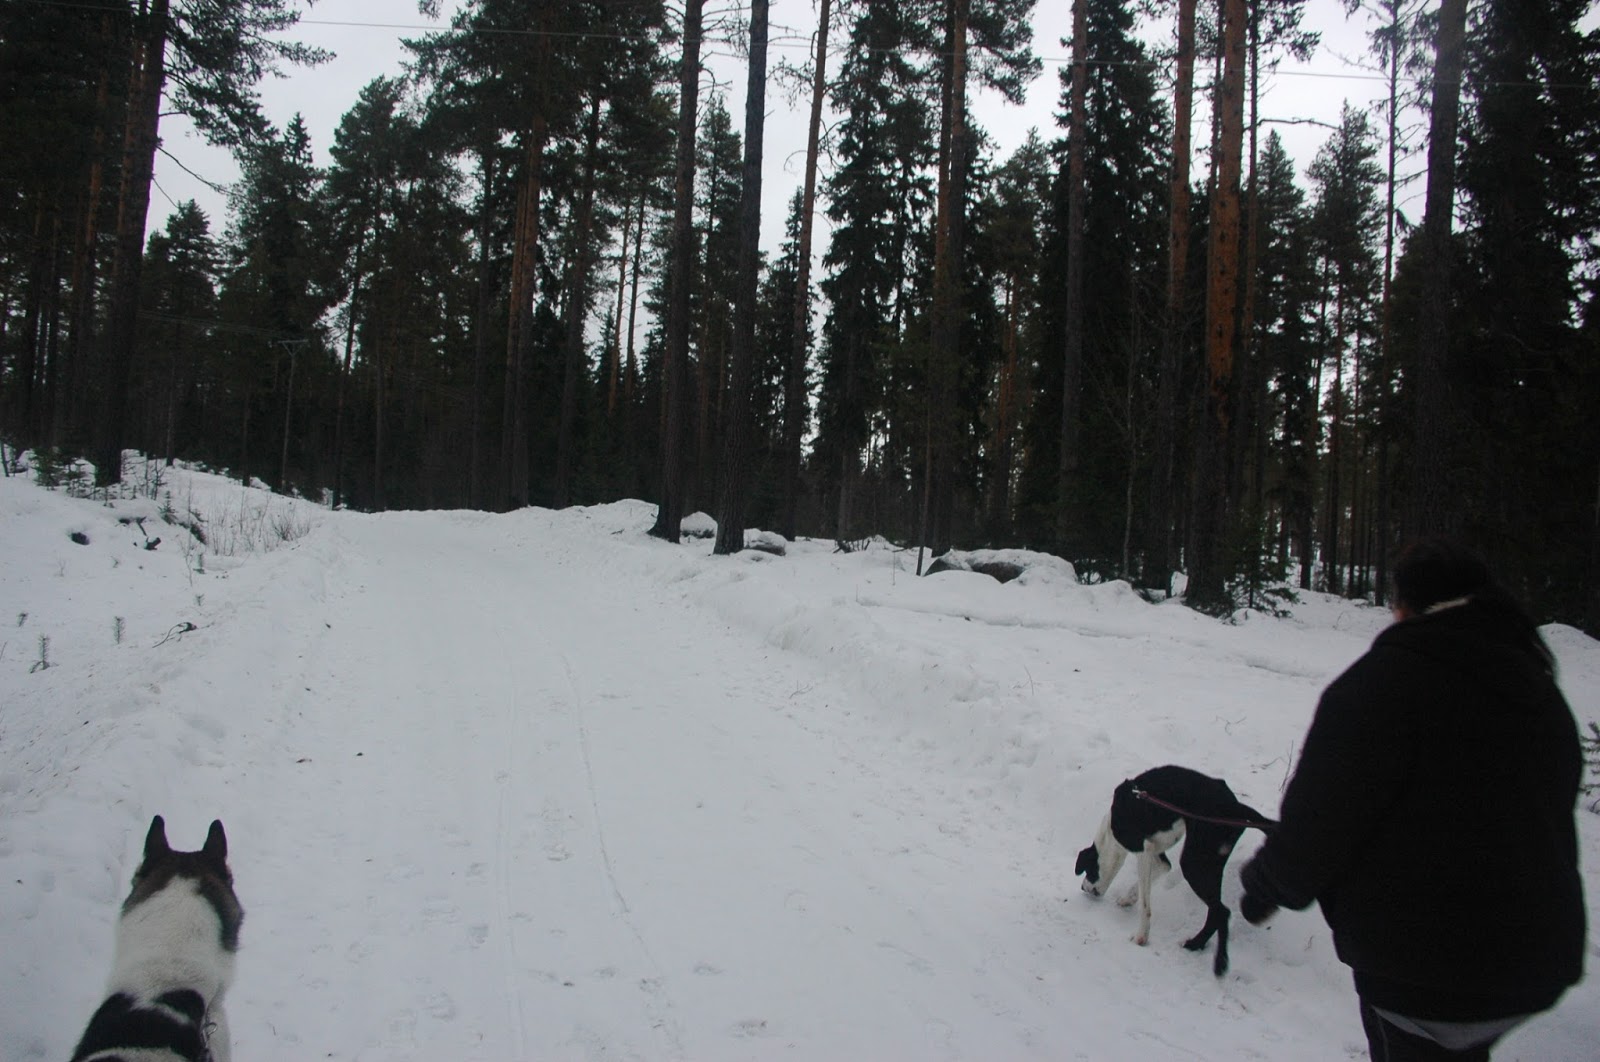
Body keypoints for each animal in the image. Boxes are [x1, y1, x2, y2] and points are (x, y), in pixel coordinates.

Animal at [1075, 765, 1272, 976]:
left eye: (1088, 870)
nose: (1083, 888)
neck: (1111, 828)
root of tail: (1236, 807)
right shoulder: (1156, 854)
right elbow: (1156, 874)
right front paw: (1129, 898)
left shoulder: (1142, 850)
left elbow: (1146, 904)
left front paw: (1141, 936)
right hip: (1210, 862)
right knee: (1218, 911)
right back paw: (1198, 946)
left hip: (1193, 863)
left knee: (1221, 912)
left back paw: (1213, 958)